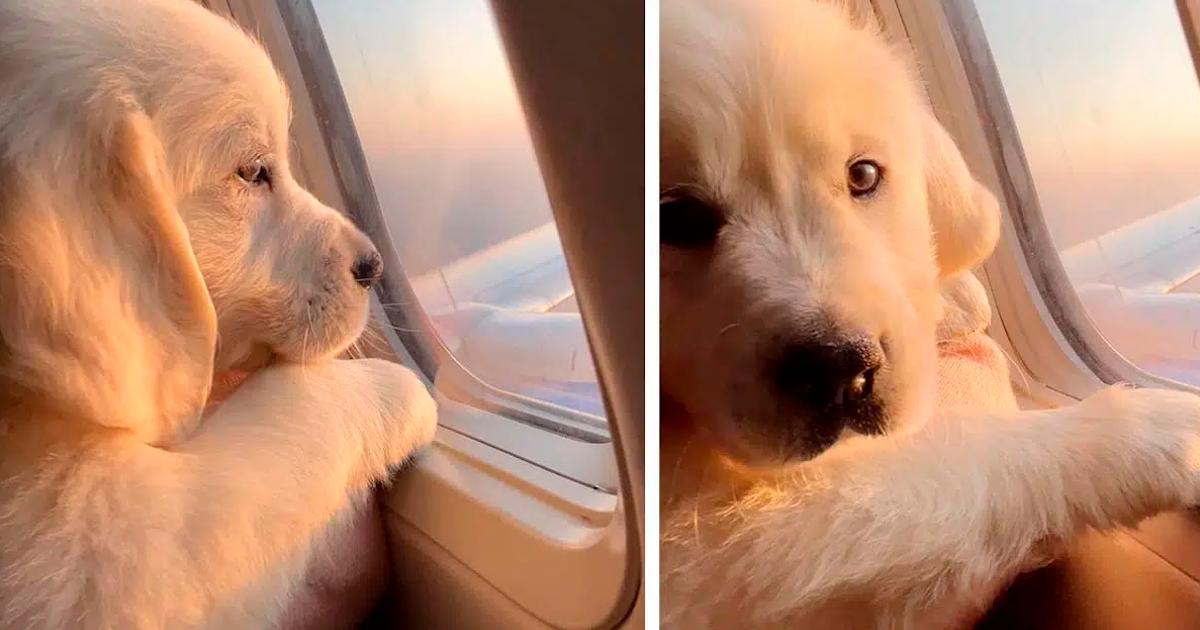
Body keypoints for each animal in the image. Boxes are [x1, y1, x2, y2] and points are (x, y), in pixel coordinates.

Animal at [662, 1, 1200, 624]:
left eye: (864, 174)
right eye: (674, 220)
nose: (840, 369)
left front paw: (954, 292)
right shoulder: (706, 541)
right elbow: (966, 459)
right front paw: (1158, 433)